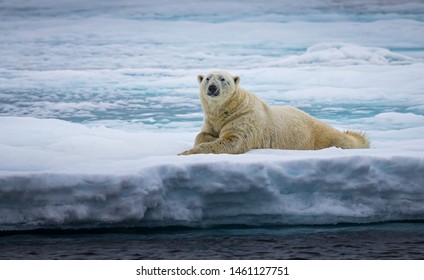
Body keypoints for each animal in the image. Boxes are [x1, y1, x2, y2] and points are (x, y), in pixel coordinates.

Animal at [181, 70, 370, 155]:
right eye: (207, 78)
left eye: (223, 79)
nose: (212, 88)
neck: (228, 108)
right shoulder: (212, 120)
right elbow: (204, 134)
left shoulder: (245, 119)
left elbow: (232, 141)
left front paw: (186, 152)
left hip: (318, 136)